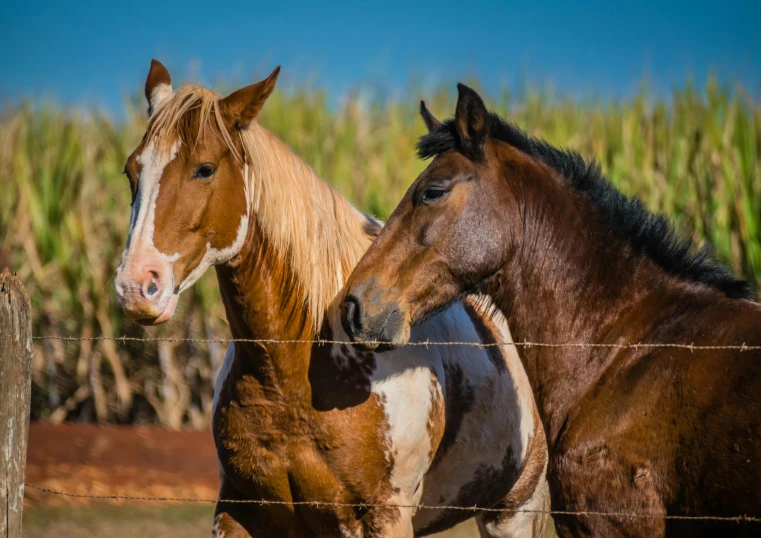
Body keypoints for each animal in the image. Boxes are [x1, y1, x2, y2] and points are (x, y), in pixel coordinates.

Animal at [116, 61, 548, 536]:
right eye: (131, 171)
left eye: (205, 169)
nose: (138, 285)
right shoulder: (237, 510)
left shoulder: (386, 516)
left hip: (513, 512)